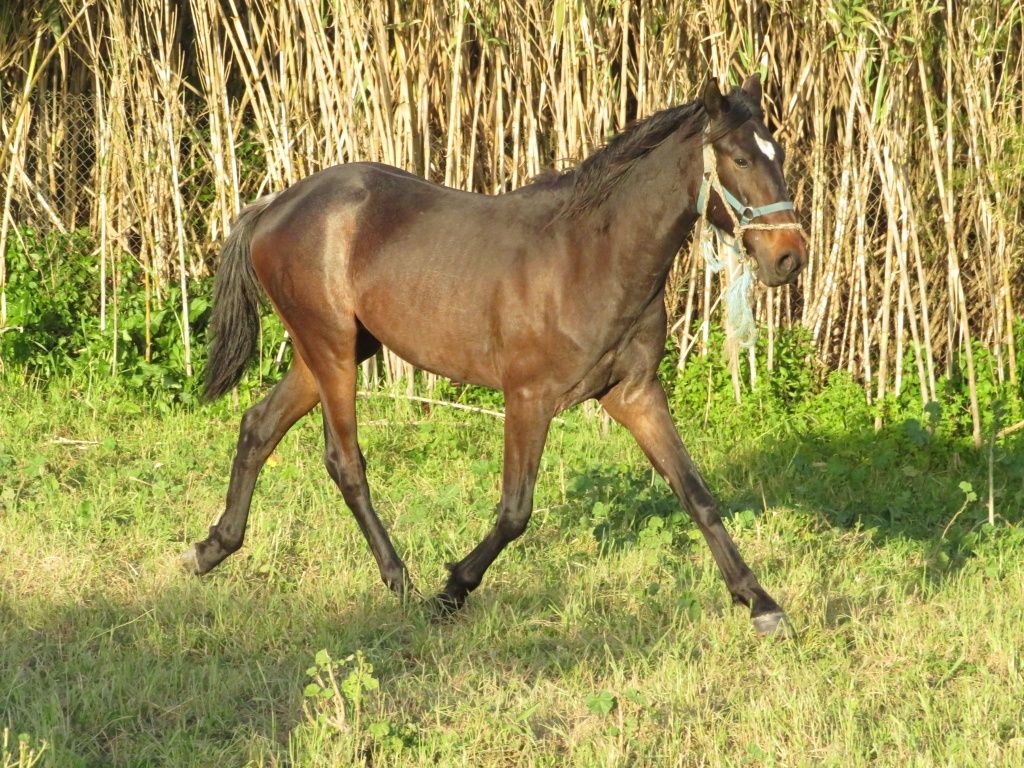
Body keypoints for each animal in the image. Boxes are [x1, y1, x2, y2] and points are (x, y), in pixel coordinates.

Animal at [182, 75, 806, 638]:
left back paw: (211, 549)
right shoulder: (529, 398)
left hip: (333, 351)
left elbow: (697, 494)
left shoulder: (634, 394)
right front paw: (451, 591)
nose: (790, 257)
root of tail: (275, 204)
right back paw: (400, 583)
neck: (592, 256)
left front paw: (761, 603)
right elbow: (515, 511)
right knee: (345, 462)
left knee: (259, 426)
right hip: (330, 349)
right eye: (739, 158)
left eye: (777, 153)